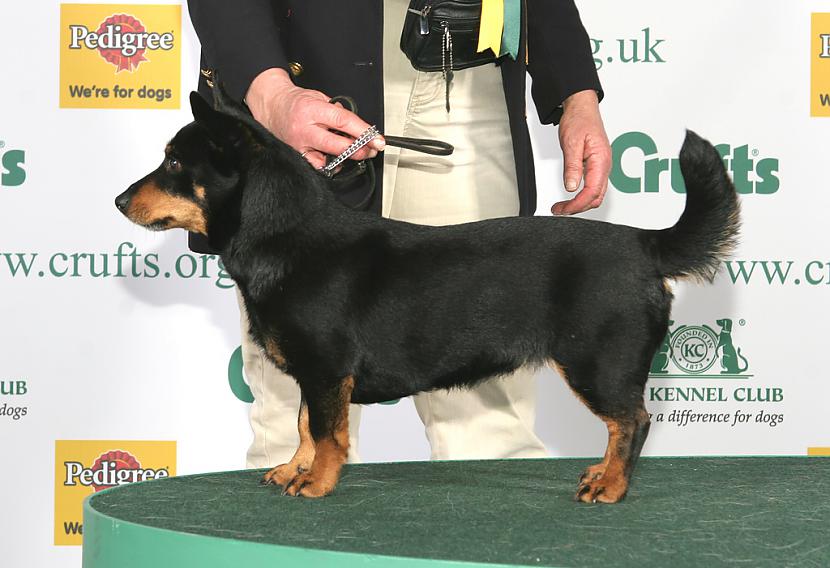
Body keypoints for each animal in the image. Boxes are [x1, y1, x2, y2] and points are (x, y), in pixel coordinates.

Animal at [115, 86, 740, 504]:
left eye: (174, 162)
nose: (119, 200)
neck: (283, 235)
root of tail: (644, 244)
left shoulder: (327, 368)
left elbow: (326, 432)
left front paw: (316, 483)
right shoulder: (313, 374)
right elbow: (302, 424)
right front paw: (293, 470)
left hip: (596, 361)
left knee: (632, 421)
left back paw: (609, 486)